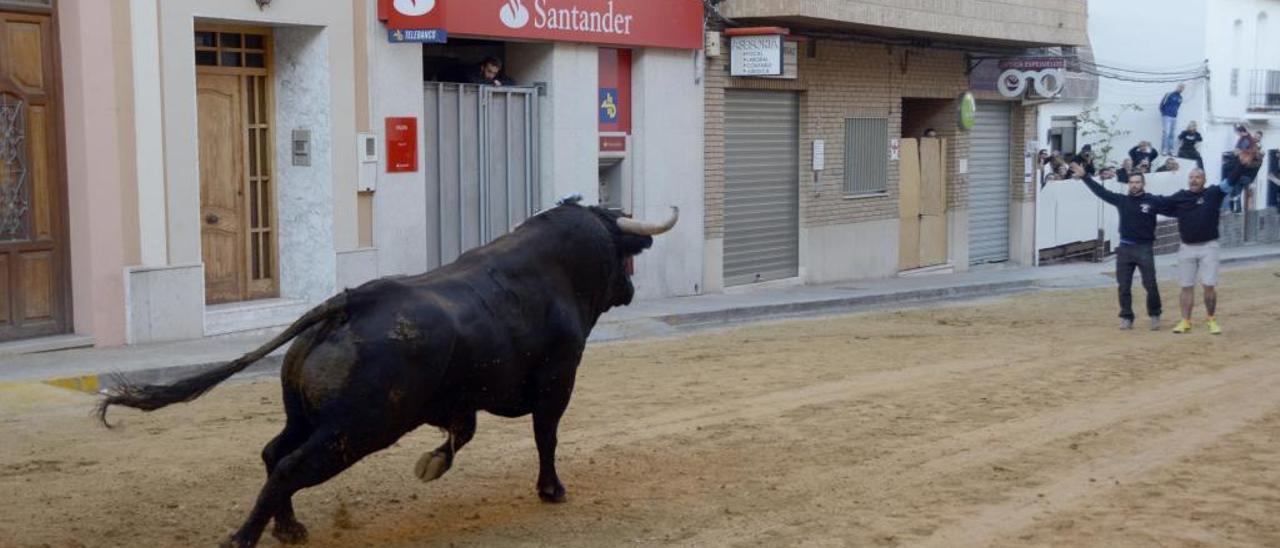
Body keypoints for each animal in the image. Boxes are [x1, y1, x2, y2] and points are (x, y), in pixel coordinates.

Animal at [97, 202, 680, 548]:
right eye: (625, 257)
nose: (631, 289)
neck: (556, 269)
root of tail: (346, 304)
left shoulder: (463, 399)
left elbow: (465, 431)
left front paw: (435, 462)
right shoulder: (559, 379)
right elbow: (547, 435)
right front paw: (552, 490)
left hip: (309, 417)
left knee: (272, 452)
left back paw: (289, 527)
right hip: (355, 430)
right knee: (288, 466)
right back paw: (243, 539)